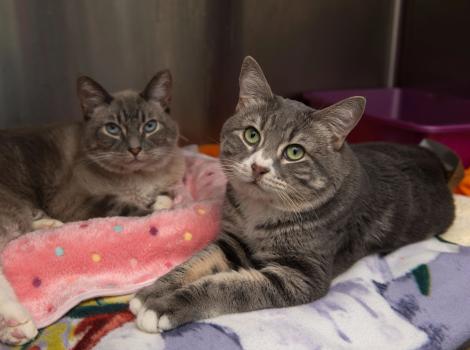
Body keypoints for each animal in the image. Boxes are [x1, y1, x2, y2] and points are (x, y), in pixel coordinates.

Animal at [0, 70, 184, 344]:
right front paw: (156, 210)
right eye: (112, 129)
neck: (139, 177)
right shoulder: (74, 202)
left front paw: (159, 200)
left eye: (150, 126)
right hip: (12, 208)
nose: (135, 149)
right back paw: (14, 323)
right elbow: (140, 211)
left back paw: (48, 225)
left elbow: (166, 197)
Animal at [129, 56, 456, 334]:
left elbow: (229, 287)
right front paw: (150, 293)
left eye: (295, 152)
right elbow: (200, 259)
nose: (259, 167)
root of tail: (433, 160)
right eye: (251, 134)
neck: (260, 209)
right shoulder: (234, 241)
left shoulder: (301, 275)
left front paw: (166, 306)